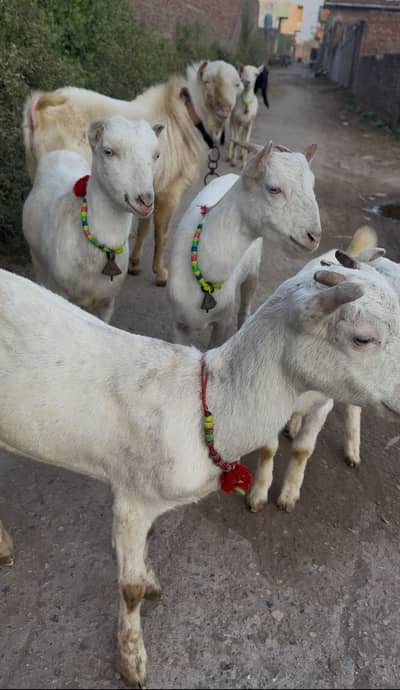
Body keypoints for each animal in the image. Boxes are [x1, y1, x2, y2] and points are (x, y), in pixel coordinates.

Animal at [1, 260, 400, 685]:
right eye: (362, 338)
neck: (209, 404)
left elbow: (148, 545)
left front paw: (151, 577)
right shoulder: (132, 499)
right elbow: (129, 589)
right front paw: (132, 662)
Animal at [22, 117, 162, 323]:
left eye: (156, 155)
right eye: (108, 152)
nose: (145, 201)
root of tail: (63, 151)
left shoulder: (107, 303)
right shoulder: (63, 293)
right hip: (37, 258)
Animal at [23, 60, 243, 286]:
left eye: (237, 85)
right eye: (207, 81)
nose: (225, 109)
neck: (186, 116)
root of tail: (40, 106)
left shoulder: (149, 187)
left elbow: (144, 227)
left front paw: (135, 264)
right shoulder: (170, 191)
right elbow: (162, 233)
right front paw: (161, 274)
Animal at [168, 141, 321, 348]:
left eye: (312, 185)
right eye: (274, 189)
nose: (314, 236)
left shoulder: (223, 322)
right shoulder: (179, 325)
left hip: (253, 270)